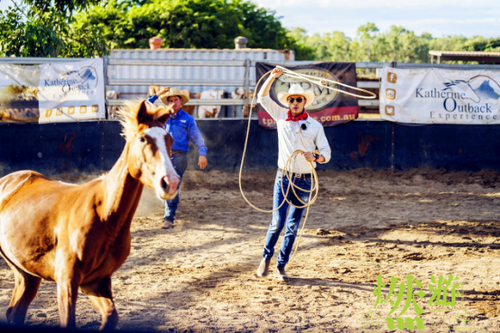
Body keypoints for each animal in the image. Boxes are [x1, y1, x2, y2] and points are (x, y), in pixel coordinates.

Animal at [0, 100, 179, 328]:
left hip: (27, 275)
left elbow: (111, 316)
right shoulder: (67, 281)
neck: (106, 216)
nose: (170, 182)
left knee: (16, 311)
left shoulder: (95, 282)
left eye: (169, 139)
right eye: (142, 138)